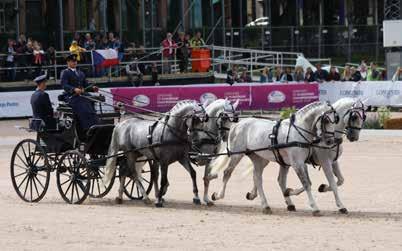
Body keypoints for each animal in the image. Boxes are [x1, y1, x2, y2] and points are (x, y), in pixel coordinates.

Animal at [209, 101, 338, 215]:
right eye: (326, 120)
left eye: (335, 119)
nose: (330, 141)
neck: (297, 130)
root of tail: (237, 124)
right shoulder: (297, 163)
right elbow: (306, 183)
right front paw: (315, 208)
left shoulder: (300, 163)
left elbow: (306, 182)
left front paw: (288, 191)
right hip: (237, 154)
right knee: (227, 172)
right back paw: (217, 195)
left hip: (258, 158)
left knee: (257, 177)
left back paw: (264, 205)